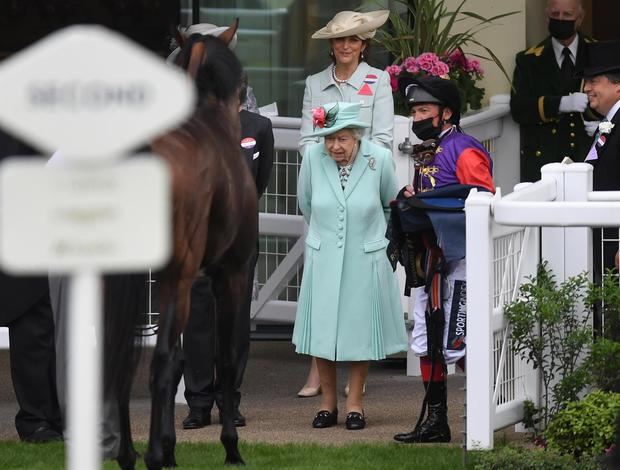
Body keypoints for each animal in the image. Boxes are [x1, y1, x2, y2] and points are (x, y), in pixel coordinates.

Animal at [105, 23, 256, 470]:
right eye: (243, 82)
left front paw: (171, 447)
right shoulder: (230, 274)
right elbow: (223, 358)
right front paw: (230, 447)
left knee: (119, 358)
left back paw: (128, 454)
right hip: (177, 277)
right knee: (160, 362)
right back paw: (153, 455)